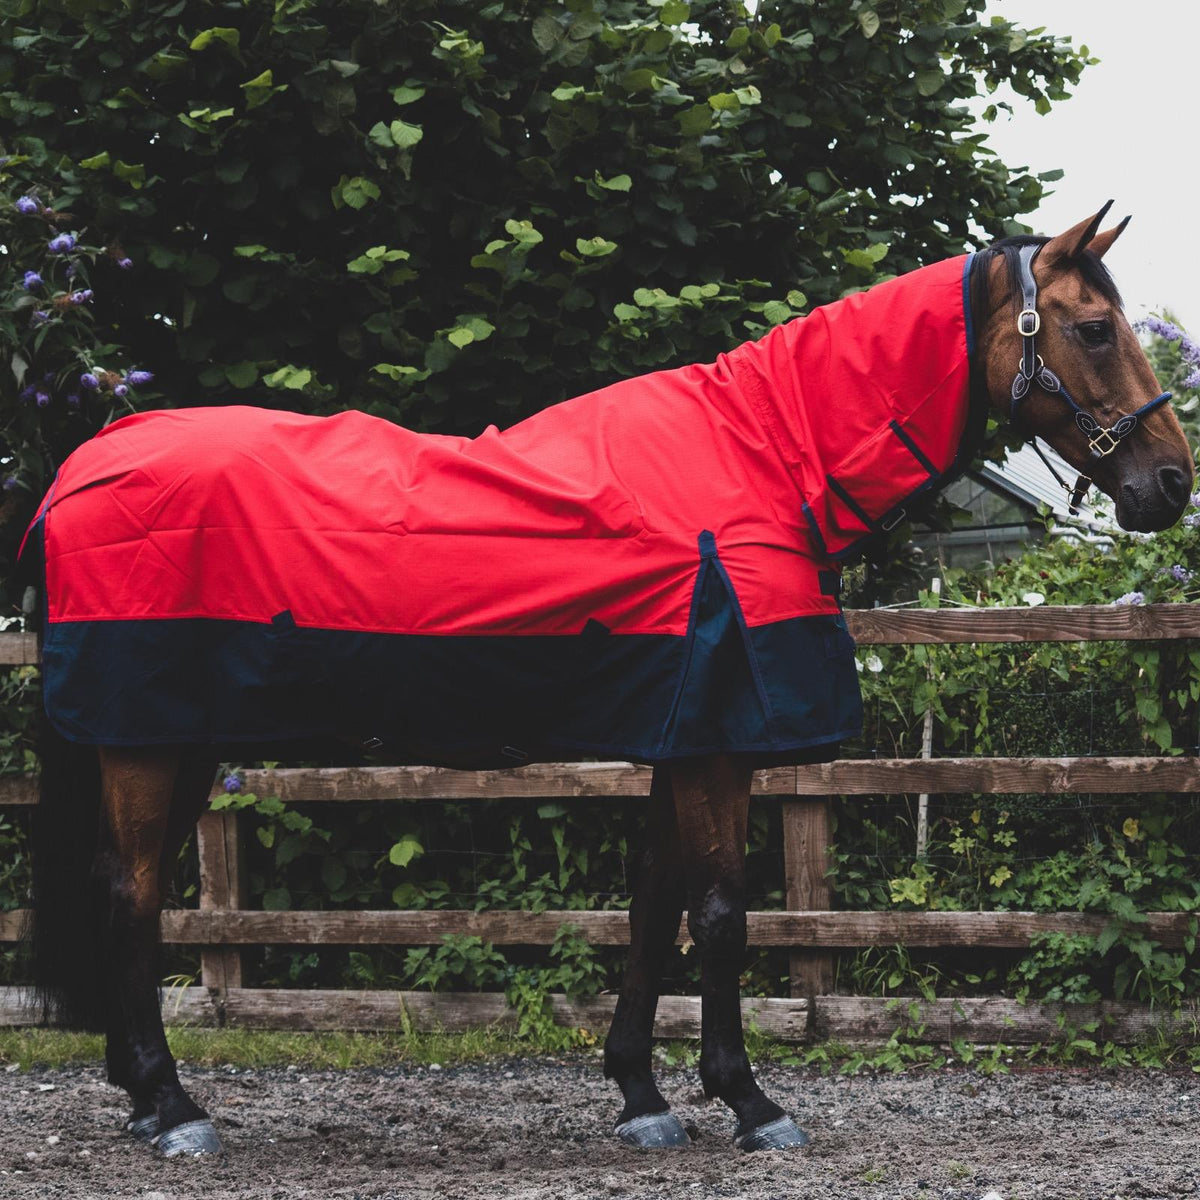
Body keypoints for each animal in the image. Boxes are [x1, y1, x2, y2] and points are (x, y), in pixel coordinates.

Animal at [23, 205, 1193, 1158]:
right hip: (144, 740)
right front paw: (750, 1101)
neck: (762, 456)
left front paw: (642, 1095)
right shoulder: (720, 744)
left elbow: (652, 906)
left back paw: (143, 1097)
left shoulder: (683, 738)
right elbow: (719, 916)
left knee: (120, 886)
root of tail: (84, 465)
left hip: (176, 741)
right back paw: (174, 1107)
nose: (1170, 484)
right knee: (131, 894)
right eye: (1095, 328)